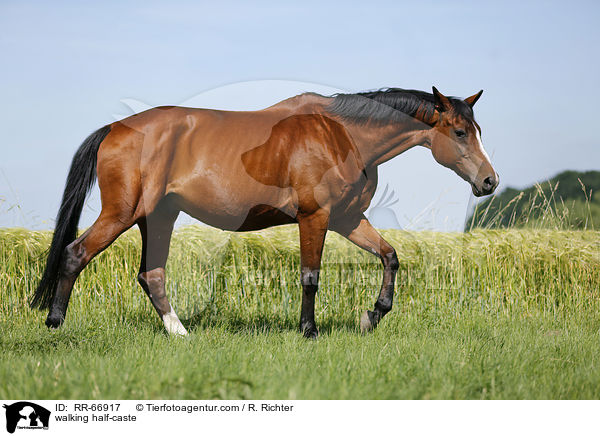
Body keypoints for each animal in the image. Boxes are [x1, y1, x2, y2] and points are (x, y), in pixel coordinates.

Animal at [30, 85, 500, 338]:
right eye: (460, 132)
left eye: (478, 129)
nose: (489, 182)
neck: (342, 135)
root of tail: (115, 128)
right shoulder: (316, 217)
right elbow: (310, 276)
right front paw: (309, 331)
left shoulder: (348, 220)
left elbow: (390, 256)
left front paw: (372, 315)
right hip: (122, 214)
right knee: (76, 254)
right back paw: (55, 322)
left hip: (159, 217)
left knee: (152, 275)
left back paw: (180, 333)